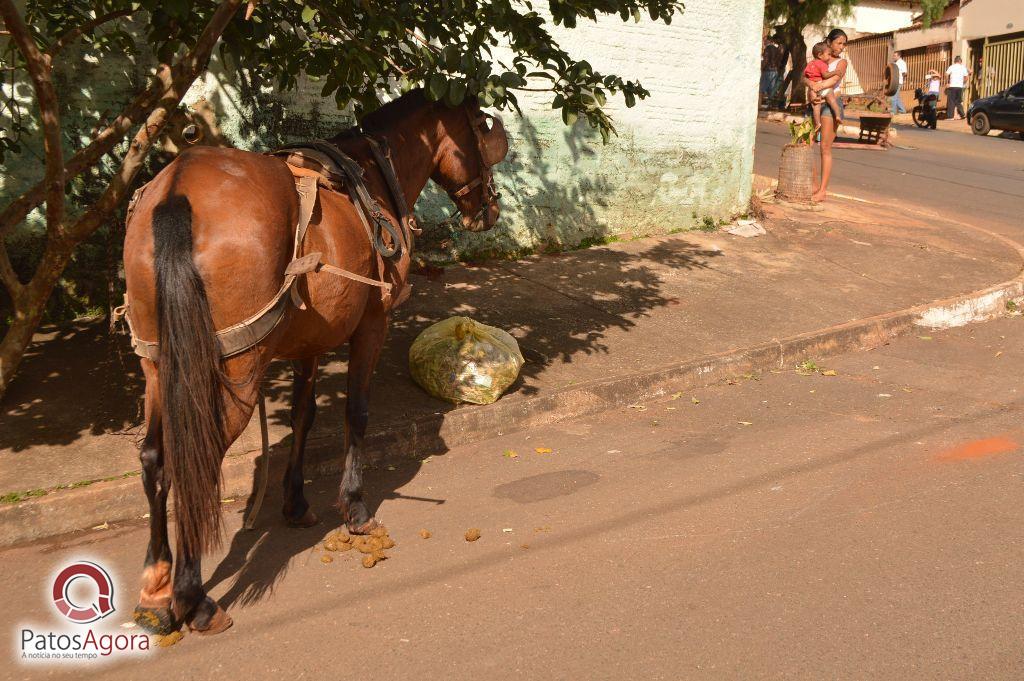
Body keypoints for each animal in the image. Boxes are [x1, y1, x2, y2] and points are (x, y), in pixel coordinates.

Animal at [121, 90, 509, 630]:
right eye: (479, 125)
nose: (490, 208)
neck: (373, 173)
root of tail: (177, 190)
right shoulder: (371, 325)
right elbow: (356, 414)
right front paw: (355, 506)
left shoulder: (307, 342)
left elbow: (304, 416)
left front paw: (296, 501)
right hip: (234, 369)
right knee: (196, 456)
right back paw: (191, 596)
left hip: (159, 367)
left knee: (156, 459)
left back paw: (156, 590)